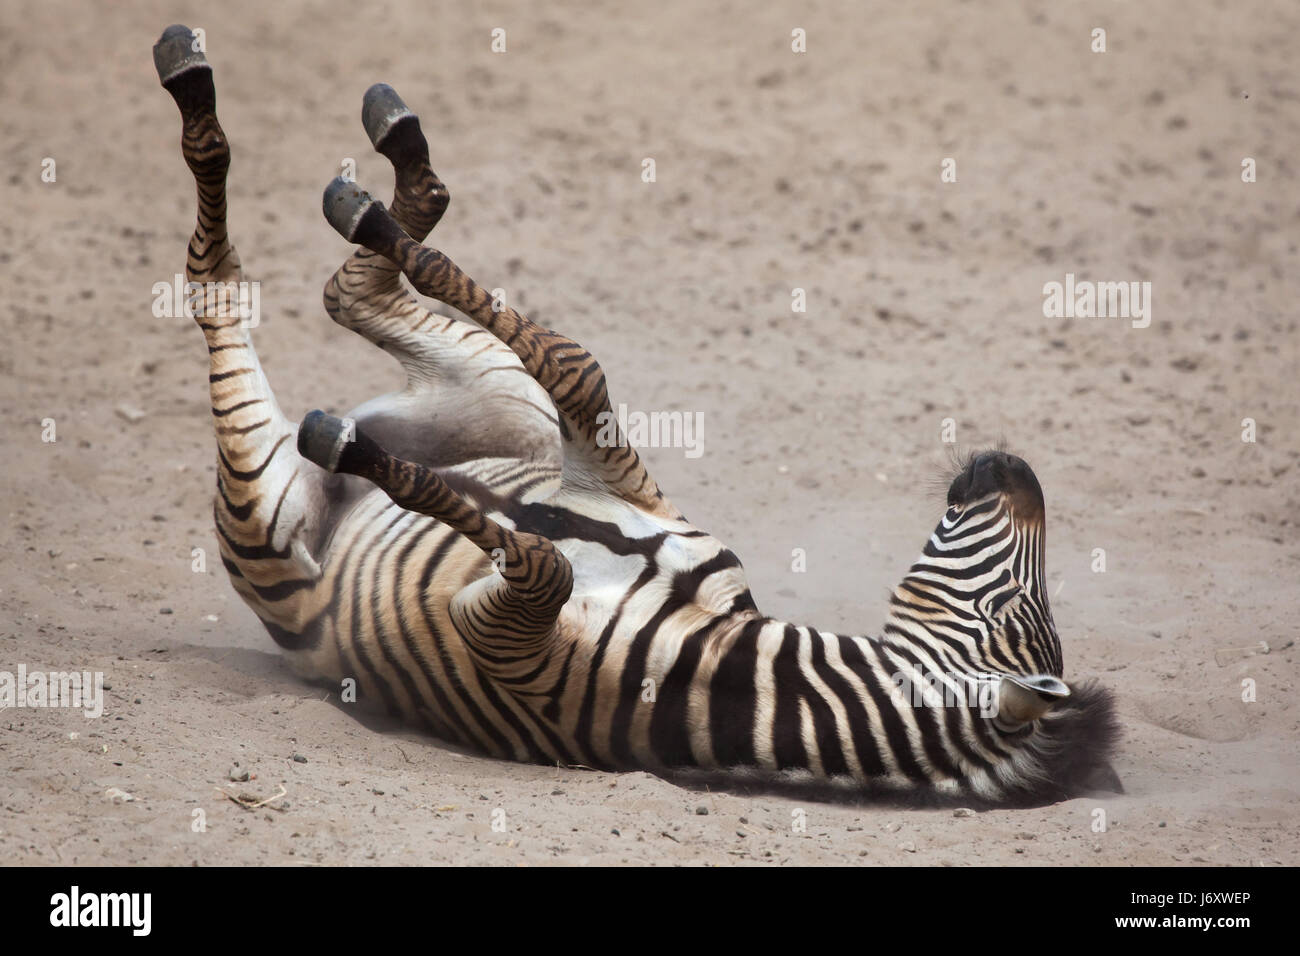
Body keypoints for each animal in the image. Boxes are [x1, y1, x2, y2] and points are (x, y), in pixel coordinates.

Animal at [157, 26, 1123, 806]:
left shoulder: (503, 642)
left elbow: (540, 556)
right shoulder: (620, 486)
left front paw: (354, 446)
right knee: (352, 290)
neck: (718, 670)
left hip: (266, 517)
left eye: (1010, 607)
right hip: (508, 407)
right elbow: (575, 367)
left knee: (222, 287)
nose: (1015, 466)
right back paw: (369, 158)